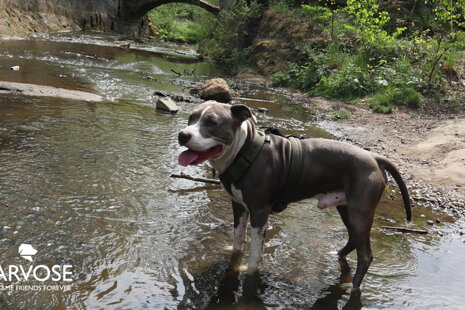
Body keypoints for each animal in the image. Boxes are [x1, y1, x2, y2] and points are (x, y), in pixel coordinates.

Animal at [177, 101, 410, 290]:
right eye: (191, 118)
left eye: (211, 122)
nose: (183, 134)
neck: (244, 151)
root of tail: (374, 157)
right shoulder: (239, 206)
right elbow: (237, 240)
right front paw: (234, 257)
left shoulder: (259, 212)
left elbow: (255, 253)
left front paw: (249, 271)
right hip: (346, 208)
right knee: (353, 239)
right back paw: (336, 256)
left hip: (359, 212)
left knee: (365, 255)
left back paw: (352, 287)